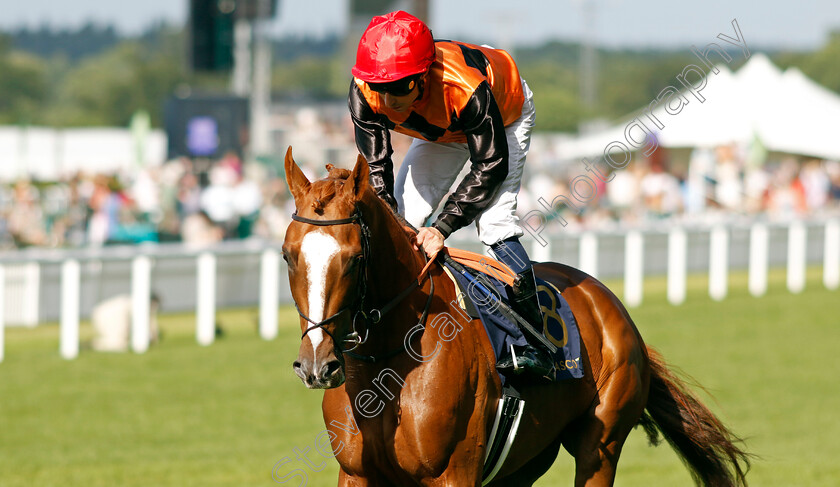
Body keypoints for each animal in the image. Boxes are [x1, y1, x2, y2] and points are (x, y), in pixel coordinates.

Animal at [282, 150, 748, 487]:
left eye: (353, 258)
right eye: (288, 255)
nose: (317, 364)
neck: (390, 365)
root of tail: (609, 304)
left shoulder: (453, 473)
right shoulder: (356, 473)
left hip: (601, 445)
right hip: (524, 461)